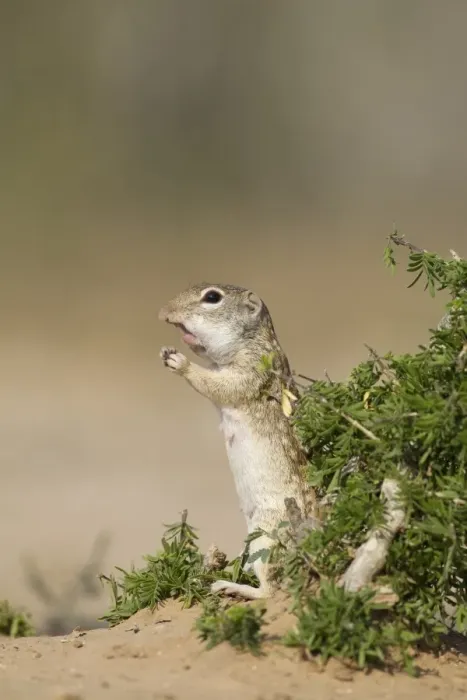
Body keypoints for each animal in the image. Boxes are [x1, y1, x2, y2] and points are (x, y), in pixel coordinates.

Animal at [159, 283, 316, 600]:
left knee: (270, 591)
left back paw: (229, 586)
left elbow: (218, 384)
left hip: (265, 538)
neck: (256, 339)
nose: (163, 312)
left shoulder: (249, 371)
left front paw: (180, 362)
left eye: (212, 297)